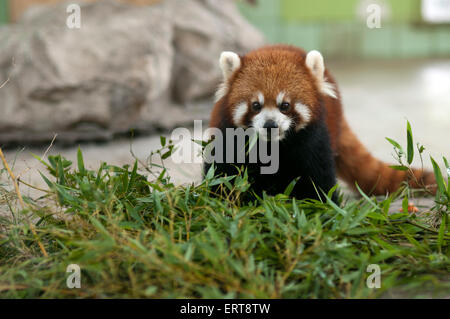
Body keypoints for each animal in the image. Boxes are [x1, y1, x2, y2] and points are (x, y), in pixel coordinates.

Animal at [205, 45, 436, 200]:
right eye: (255, 105)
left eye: (285, 105)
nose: (270, 125)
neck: (274, 146)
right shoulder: (228, 134)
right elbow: (224, 173)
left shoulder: (312, 139)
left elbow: (318, 179)